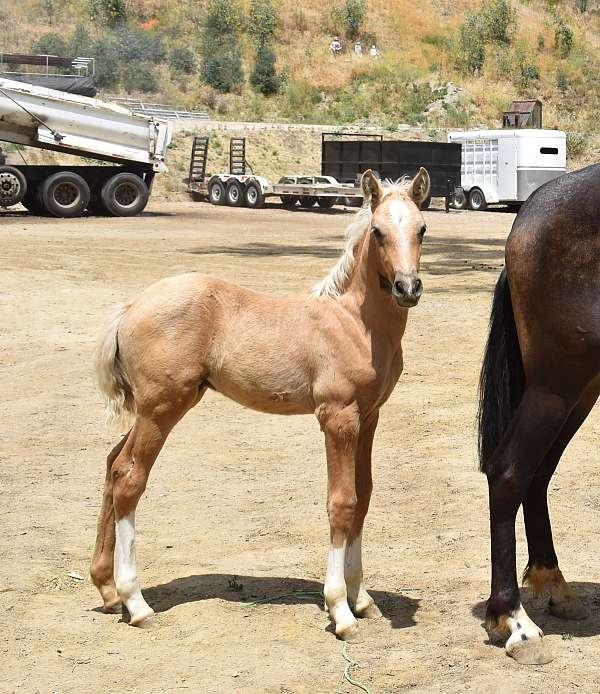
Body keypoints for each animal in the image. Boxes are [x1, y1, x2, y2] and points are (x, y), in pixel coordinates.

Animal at [89, 167, 432, 640]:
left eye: (422, 229)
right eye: (378, 231)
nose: (407, 287)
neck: (352, 321)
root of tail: (132, 306)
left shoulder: (370, 416)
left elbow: (362, 497)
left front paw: (361, 597)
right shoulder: (337, 417)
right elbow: (341, 502)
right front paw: (339, 609)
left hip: (150, 409)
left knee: (111, 463)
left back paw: (106, 588)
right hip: (162, 409)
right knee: (128, 477)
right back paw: (135, 602)